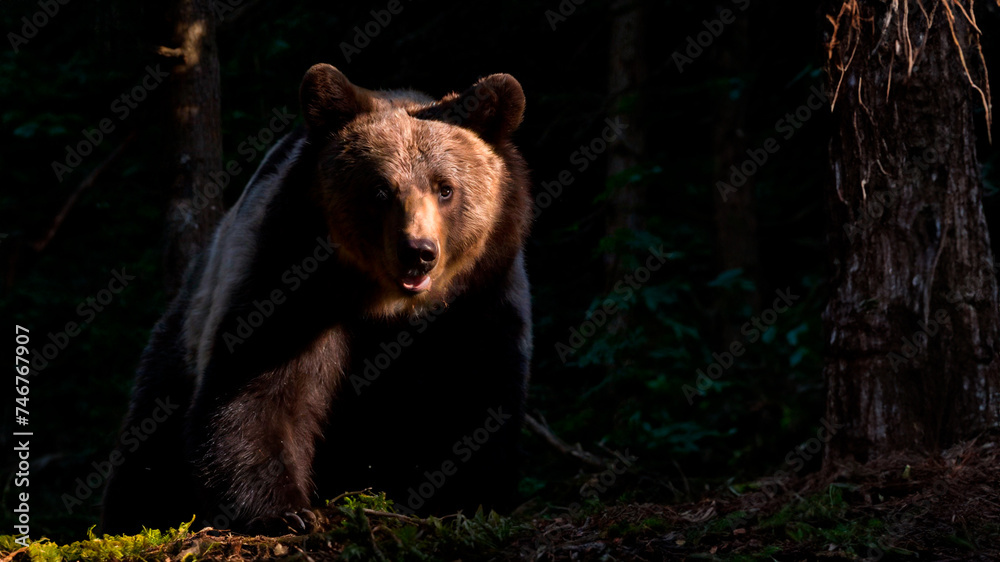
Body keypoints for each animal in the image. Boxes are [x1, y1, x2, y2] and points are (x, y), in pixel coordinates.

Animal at [100, 64, 532, 534]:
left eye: (446, 188)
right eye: (380, 190)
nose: (418, 251)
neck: (388, 307)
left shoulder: (479, 299)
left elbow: (476, 398)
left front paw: (467, 501)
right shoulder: (291, 284)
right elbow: (259, 390)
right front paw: (284, 511)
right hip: (185, 331)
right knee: (150, 441)